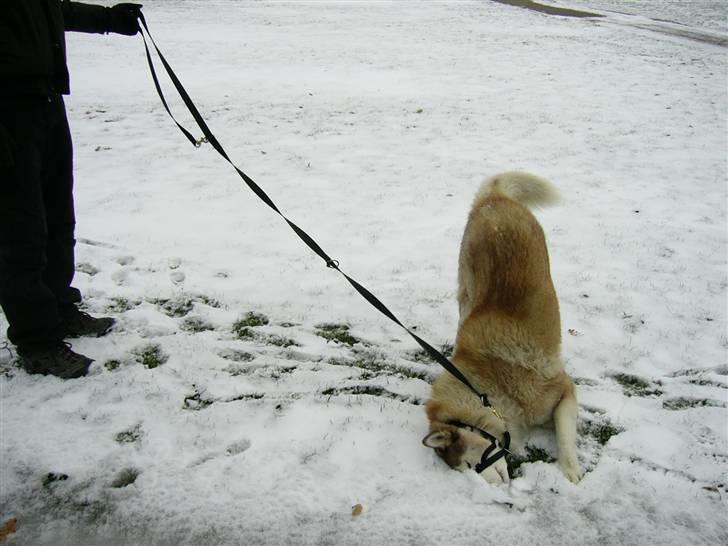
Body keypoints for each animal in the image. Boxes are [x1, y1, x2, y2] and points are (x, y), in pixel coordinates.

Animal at [424, 172, 584, 482]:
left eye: (468, 465)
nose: (494, 487)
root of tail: (493, 198)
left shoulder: (562, 389)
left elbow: (565, 435)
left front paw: (570, 469)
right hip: (468, 287)